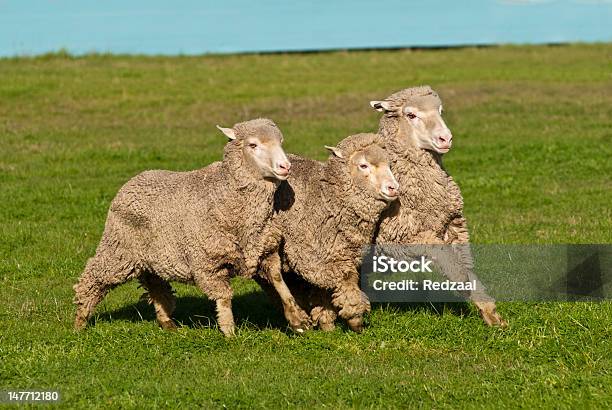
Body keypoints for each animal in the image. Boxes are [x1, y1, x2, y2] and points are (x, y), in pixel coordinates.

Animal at [72, 118, 296, 336]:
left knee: (156, 286)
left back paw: (166, 322)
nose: (285, 166)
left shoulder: (265, 250)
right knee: (93, 278)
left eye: (281, 142)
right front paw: (230, 333)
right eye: (253, 145)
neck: (224, 192)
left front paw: (296, 317)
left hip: (151, 256)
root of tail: (135, 179)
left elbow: (278, 280)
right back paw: (79, 321)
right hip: (118, 249)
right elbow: (224, 298)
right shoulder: (208, 263)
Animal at [258, 133, 402, 332]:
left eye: (389, 165)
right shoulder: (325, 255)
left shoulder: (333, 254)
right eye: (363, 165)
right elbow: (346, 280)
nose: (393, 188)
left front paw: (326, 322)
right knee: (274, 273)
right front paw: (355, 319)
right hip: (266, 235)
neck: (327, 198)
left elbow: (324, 289)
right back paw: (296, 318)